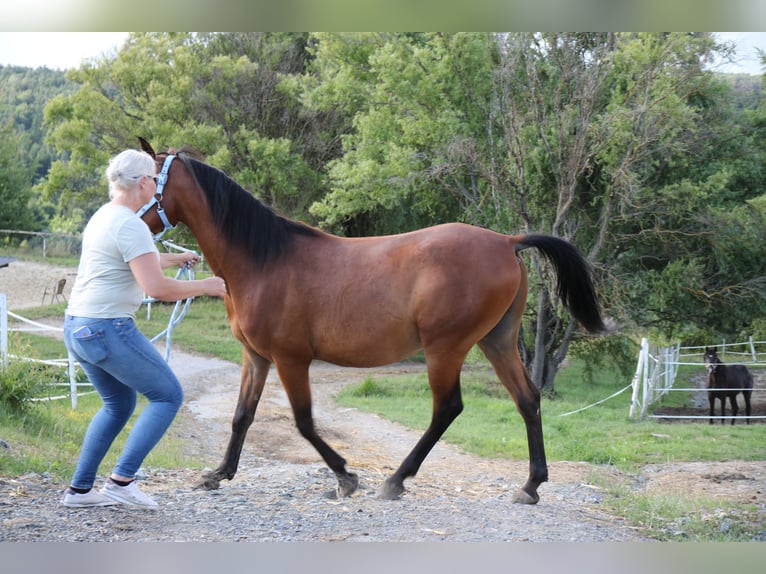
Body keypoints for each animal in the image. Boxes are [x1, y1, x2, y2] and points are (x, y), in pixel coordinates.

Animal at [137, 139, 606, 504]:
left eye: (140, 180)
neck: (264, 260)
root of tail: (507, 241)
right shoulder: (256, 357)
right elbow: (241, 416)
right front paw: (218, 474)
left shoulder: (291, 359)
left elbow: (304, 421)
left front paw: (346, 476)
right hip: (497, 341)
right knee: (527, 399)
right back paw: (530, 485)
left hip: (445, 348)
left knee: (447, 408)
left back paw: (396, 480)